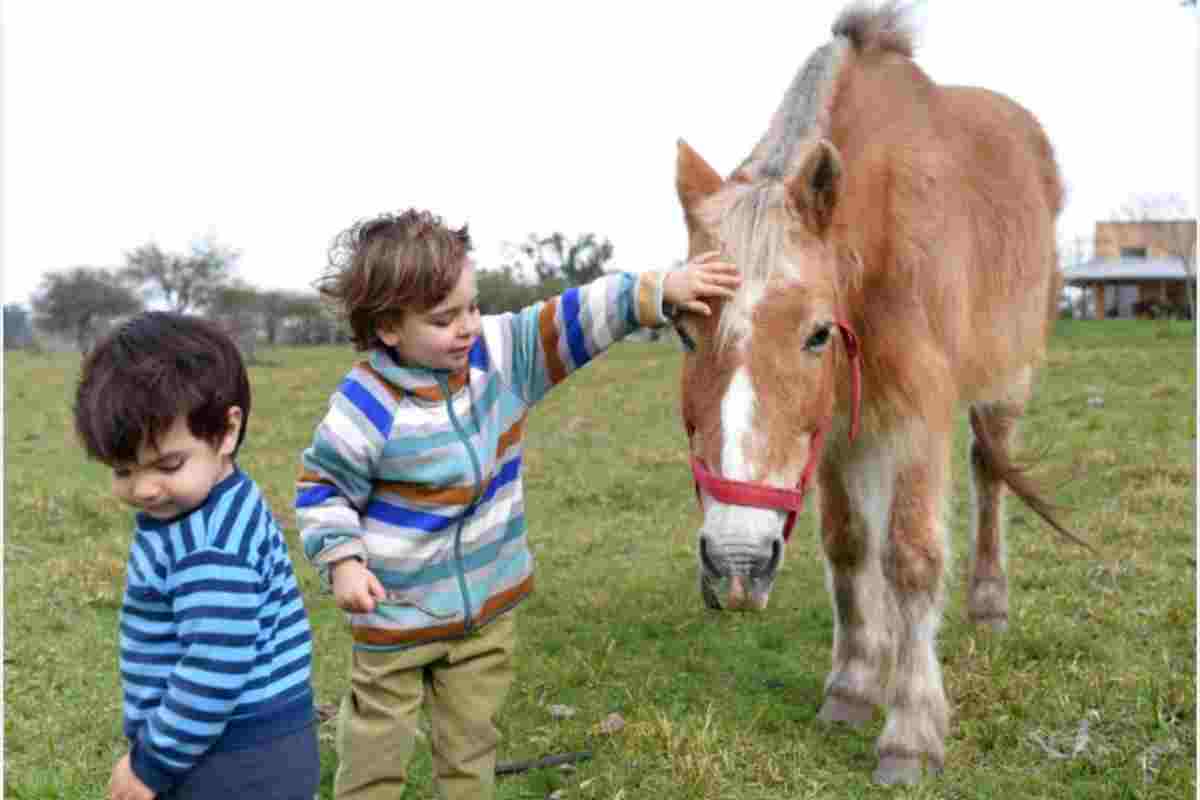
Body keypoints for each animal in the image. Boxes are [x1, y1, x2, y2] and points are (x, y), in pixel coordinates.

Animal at [672, 1, 1084, 786]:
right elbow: (850, 546)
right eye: (681, 326)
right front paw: (857, 683)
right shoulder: (836, 432)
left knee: (989, 476)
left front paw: (910, 731)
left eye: (816, 334)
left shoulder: (920, 417)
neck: (881, 233)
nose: (736, 565)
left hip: (1006, 386)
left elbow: (912, 555)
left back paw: (988, 604)